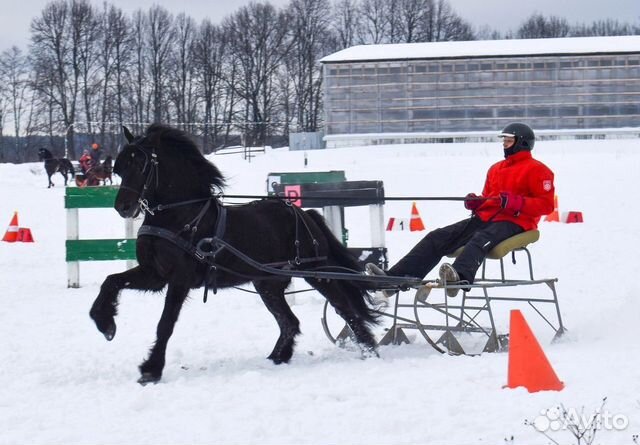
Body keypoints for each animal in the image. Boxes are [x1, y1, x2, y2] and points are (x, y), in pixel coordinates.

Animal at [90, 123, 380, 384]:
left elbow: (166, 323)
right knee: (290, 322)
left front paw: (151, 369)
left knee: (345, 309)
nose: (122, 207)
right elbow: (111, 282)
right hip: (268, 285)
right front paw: (105, 323)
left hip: (317, 272)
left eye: (141, 164)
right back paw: (278, 358)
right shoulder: (155, 275)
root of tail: (305, 214)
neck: (180, 215)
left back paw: (369, 350)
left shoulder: (179, 279)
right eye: (120, 167)